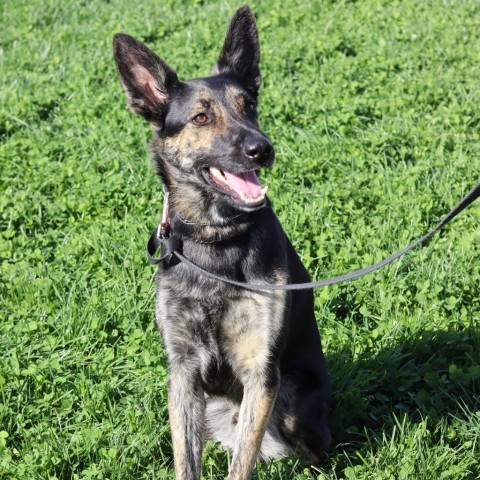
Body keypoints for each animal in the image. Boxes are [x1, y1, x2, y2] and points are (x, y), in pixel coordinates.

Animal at [112, 4, 330, 480]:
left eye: (249, 107)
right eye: (200, 118)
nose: (261, 149)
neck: (215, 241)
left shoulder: (260, 374)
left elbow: (240, 465)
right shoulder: (183, 372)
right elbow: (186, 459)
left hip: (292, 398)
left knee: (312, 453)